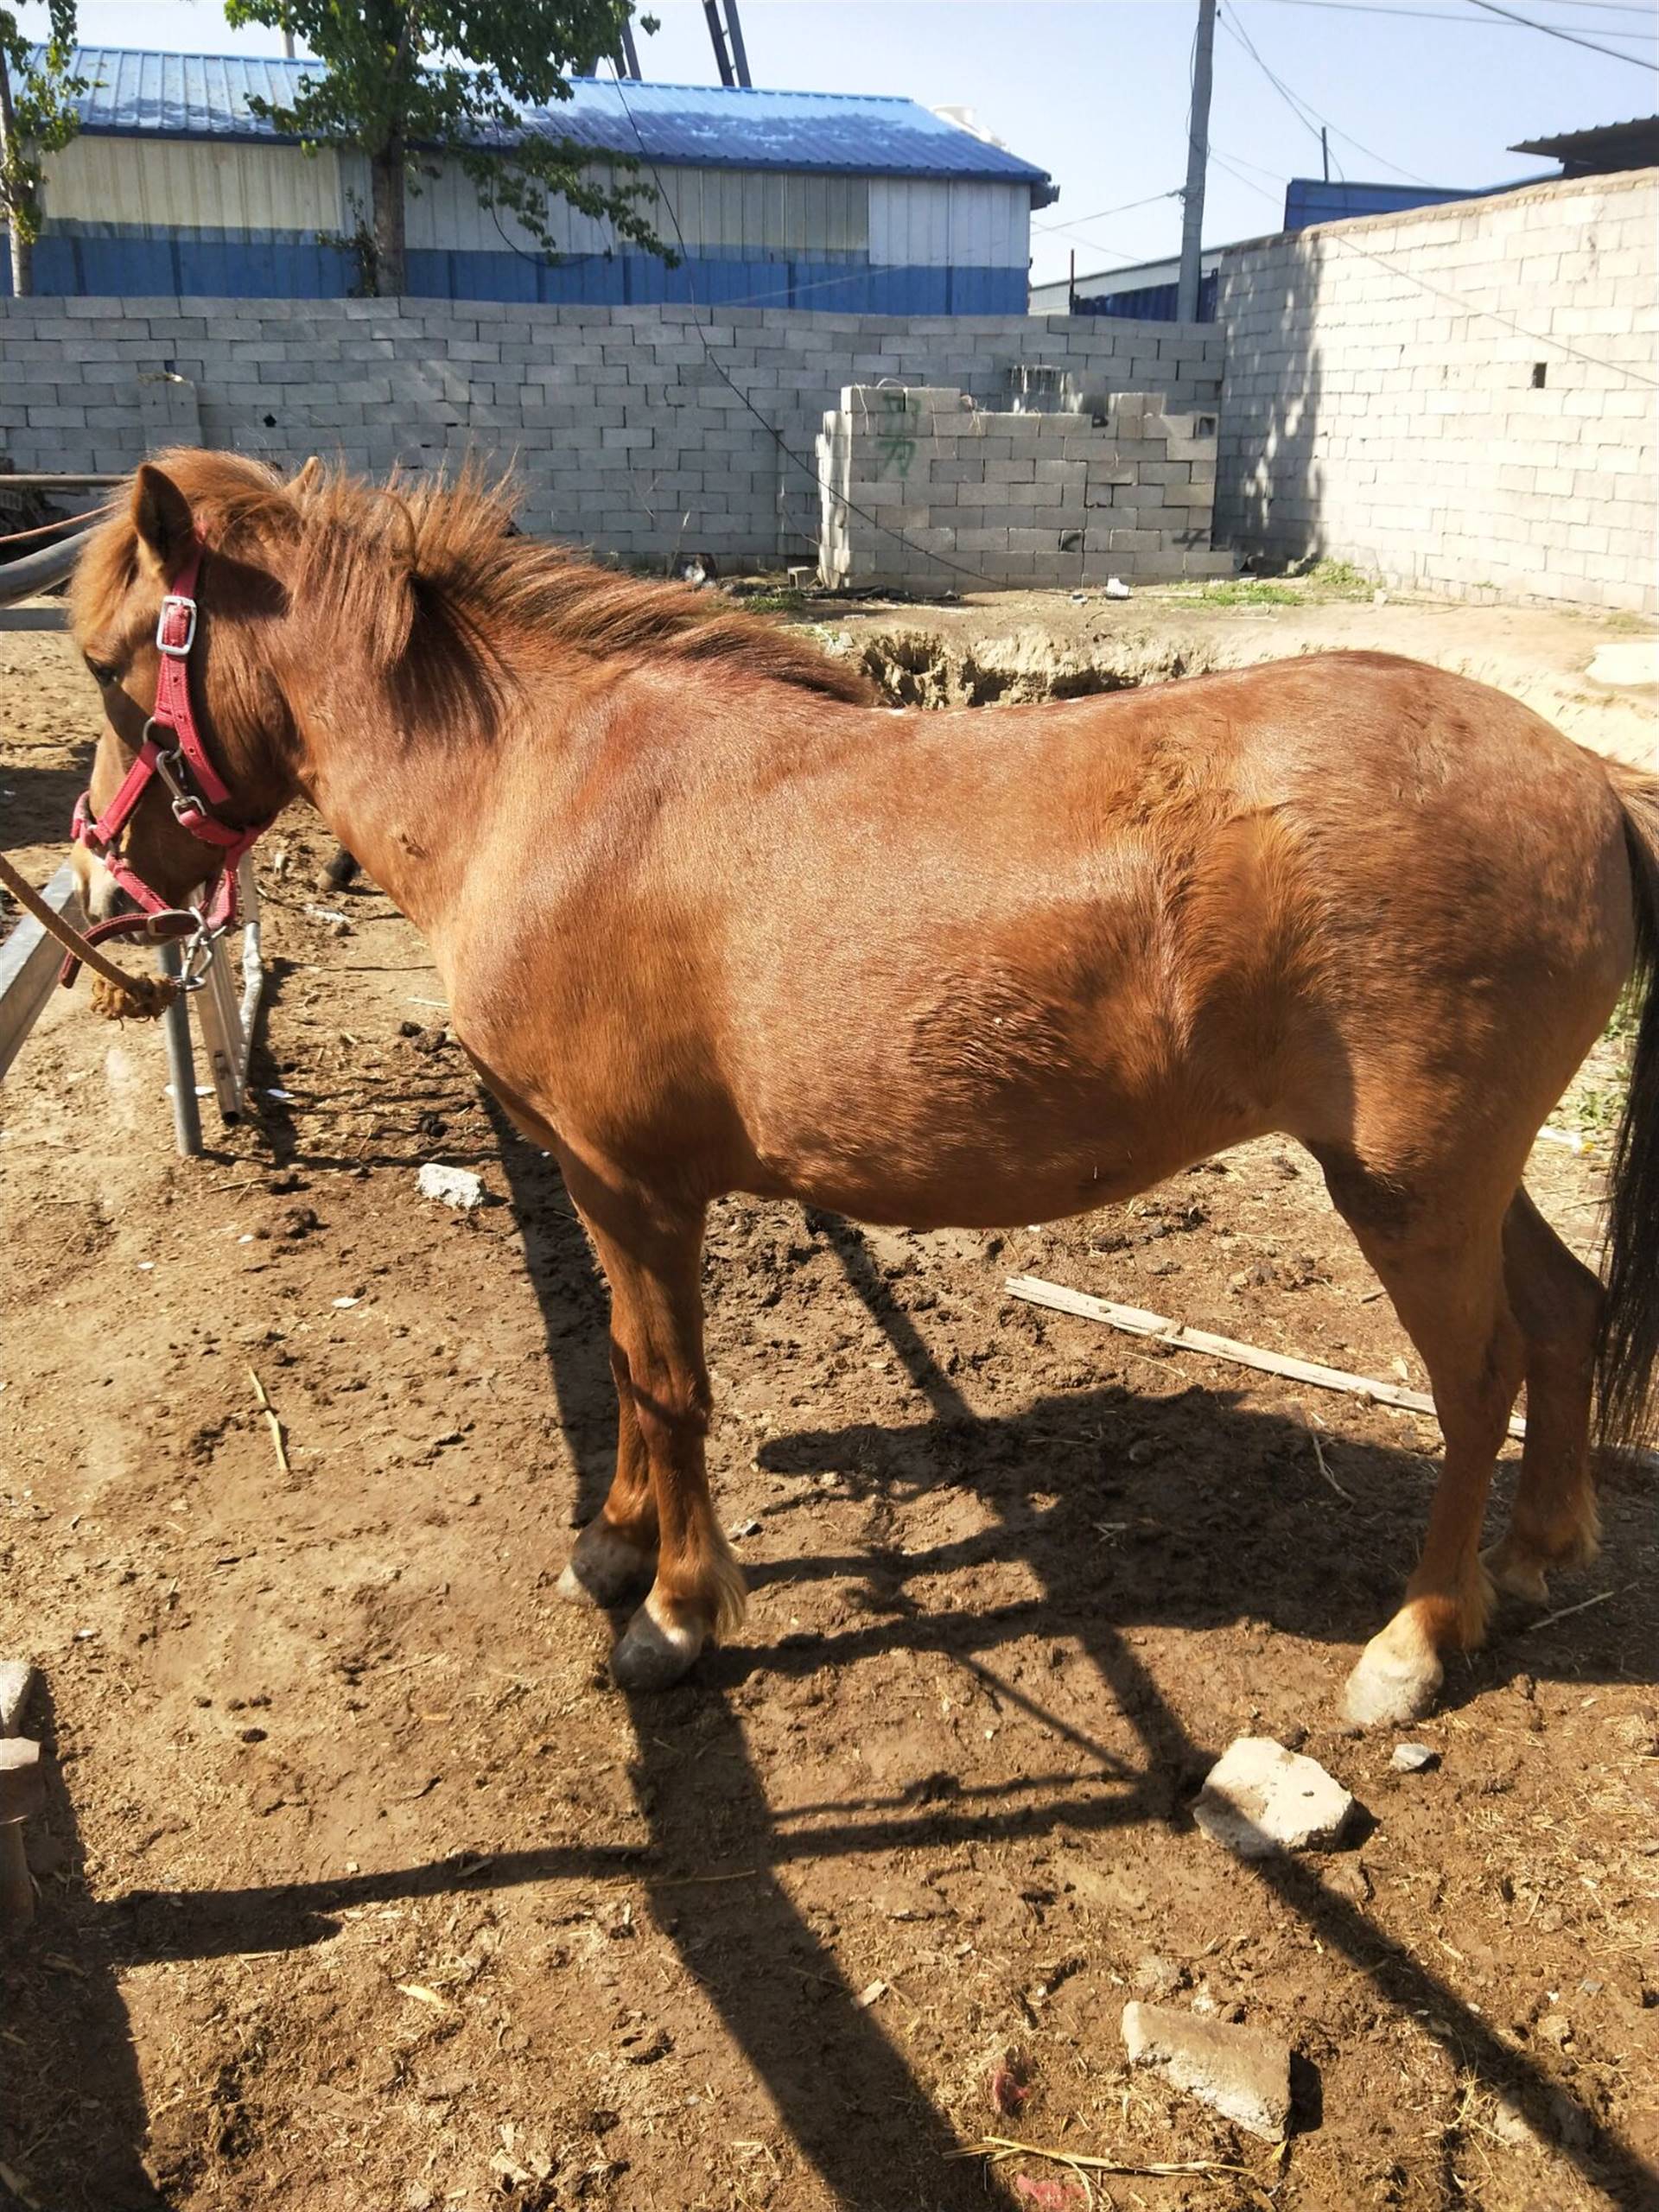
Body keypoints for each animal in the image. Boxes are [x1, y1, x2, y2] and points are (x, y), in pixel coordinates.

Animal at [68, 453, 1659, 1725]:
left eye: (104, 666)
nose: (99, 875)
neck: (544, 784)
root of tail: (1586, 777)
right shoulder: (593, 1179)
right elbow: (633, 1378)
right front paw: (616, 1546)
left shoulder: (632, 1180)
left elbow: (669, 1384)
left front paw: (675, 1611)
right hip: (1458, 1179)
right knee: (1565, 1315)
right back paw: (1537, 1553)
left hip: (1410, 1191)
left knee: (1479, 1377)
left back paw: (1419, 1639)